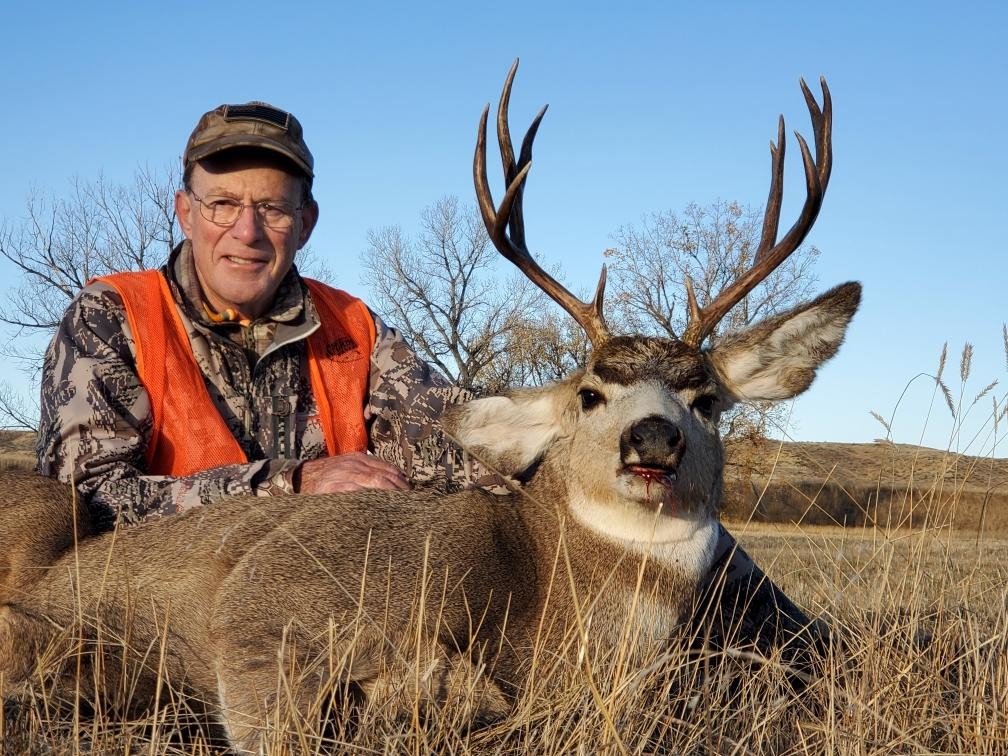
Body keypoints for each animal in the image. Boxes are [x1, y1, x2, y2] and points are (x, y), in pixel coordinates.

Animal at [0, 62, 859, 753]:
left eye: (706, 401)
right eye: (590, 394)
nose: (653, 438)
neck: (547, 594)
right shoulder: (263, 613)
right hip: (47, 500)